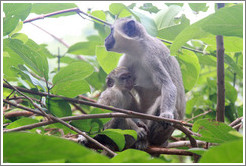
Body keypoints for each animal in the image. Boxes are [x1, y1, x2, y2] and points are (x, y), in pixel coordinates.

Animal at [104, 18, 185, 147]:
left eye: (111, 31)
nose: (106, 39)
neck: (137, 50)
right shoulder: (126, 59)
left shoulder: (150, 56)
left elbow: (167, 84)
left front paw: (166, 115)